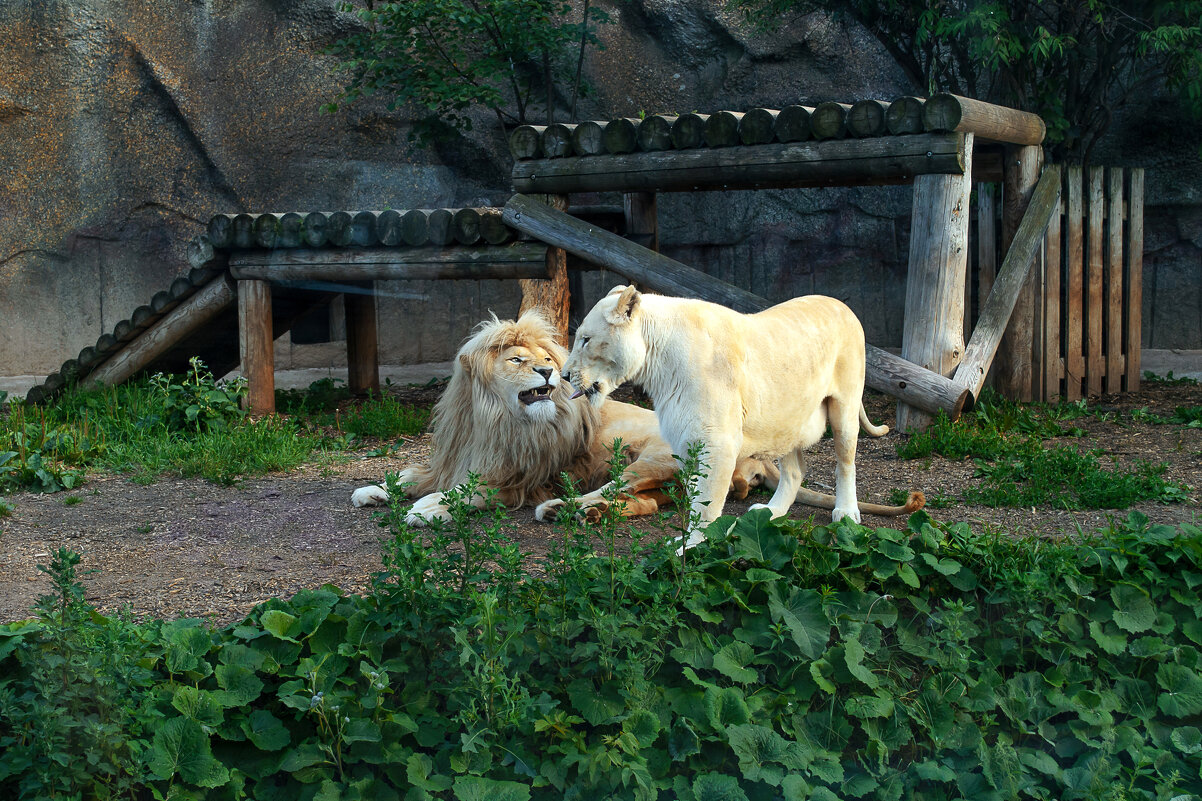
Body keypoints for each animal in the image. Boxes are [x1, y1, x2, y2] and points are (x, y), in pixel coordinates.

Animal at [350, 310, 774, 524]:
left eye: (546, 358)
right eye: (517, 360)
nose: (548, 372)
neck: (494, 419)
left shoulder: (521, 481)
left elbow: (471, 493)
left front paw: (428, 508)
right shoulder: (453, 461)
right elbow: (413, 475)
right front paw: (375, 489)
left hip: (652, 460)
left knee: (614, 488)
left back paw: (559, 508)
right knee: (643, 502)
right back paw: (578, 513)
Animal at [562, 283, 908, 546]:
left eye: (586, 340)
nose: (564, 375)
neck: (656, 362)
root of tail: (841, 304)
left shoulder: (717, 441)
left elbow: (707, 502)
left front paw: (692, 548)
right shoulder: (687, 438)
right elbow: (693, 497)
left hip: (845, 406)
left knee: (846, 461)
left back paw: (846, 513)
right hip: (788, 419)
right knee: (795, 471)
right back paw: (767, 512)